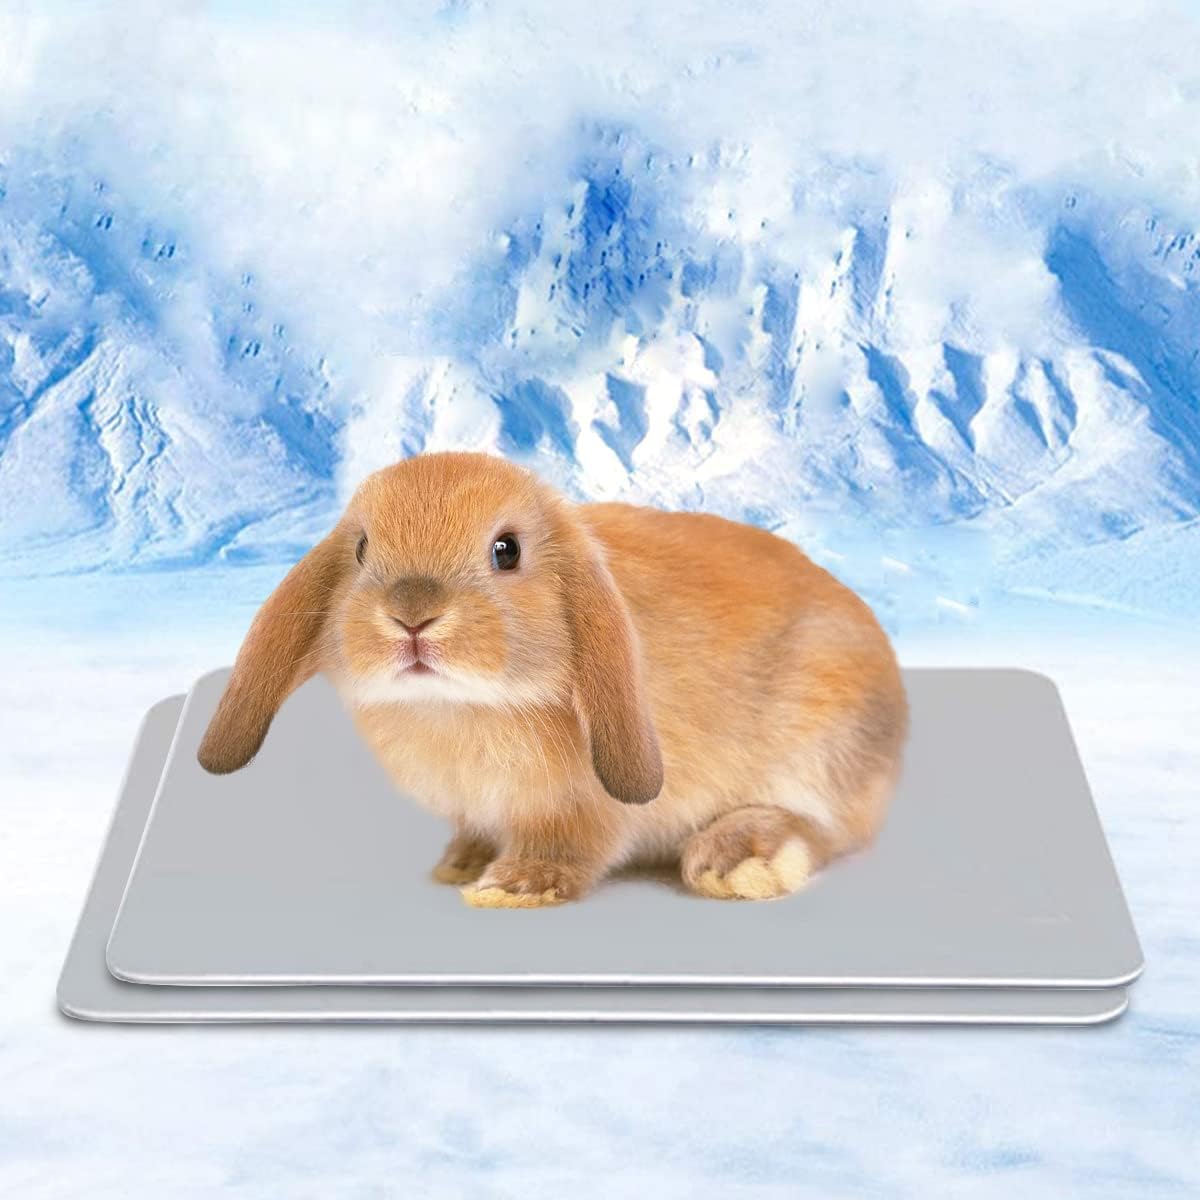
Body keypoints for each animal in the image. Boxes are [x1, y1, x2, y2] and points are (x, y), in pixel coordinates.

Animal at [198, 451, 907, 907]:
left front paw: (511, 887)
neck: (461, 706)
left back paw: (737, 861)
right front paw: (461, 864)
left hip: (822, 744)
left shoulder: (581, 808)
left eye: (506, 550)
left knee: (824, 828)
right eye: (362, 549)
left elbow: (571, 845)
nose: (411, 615)